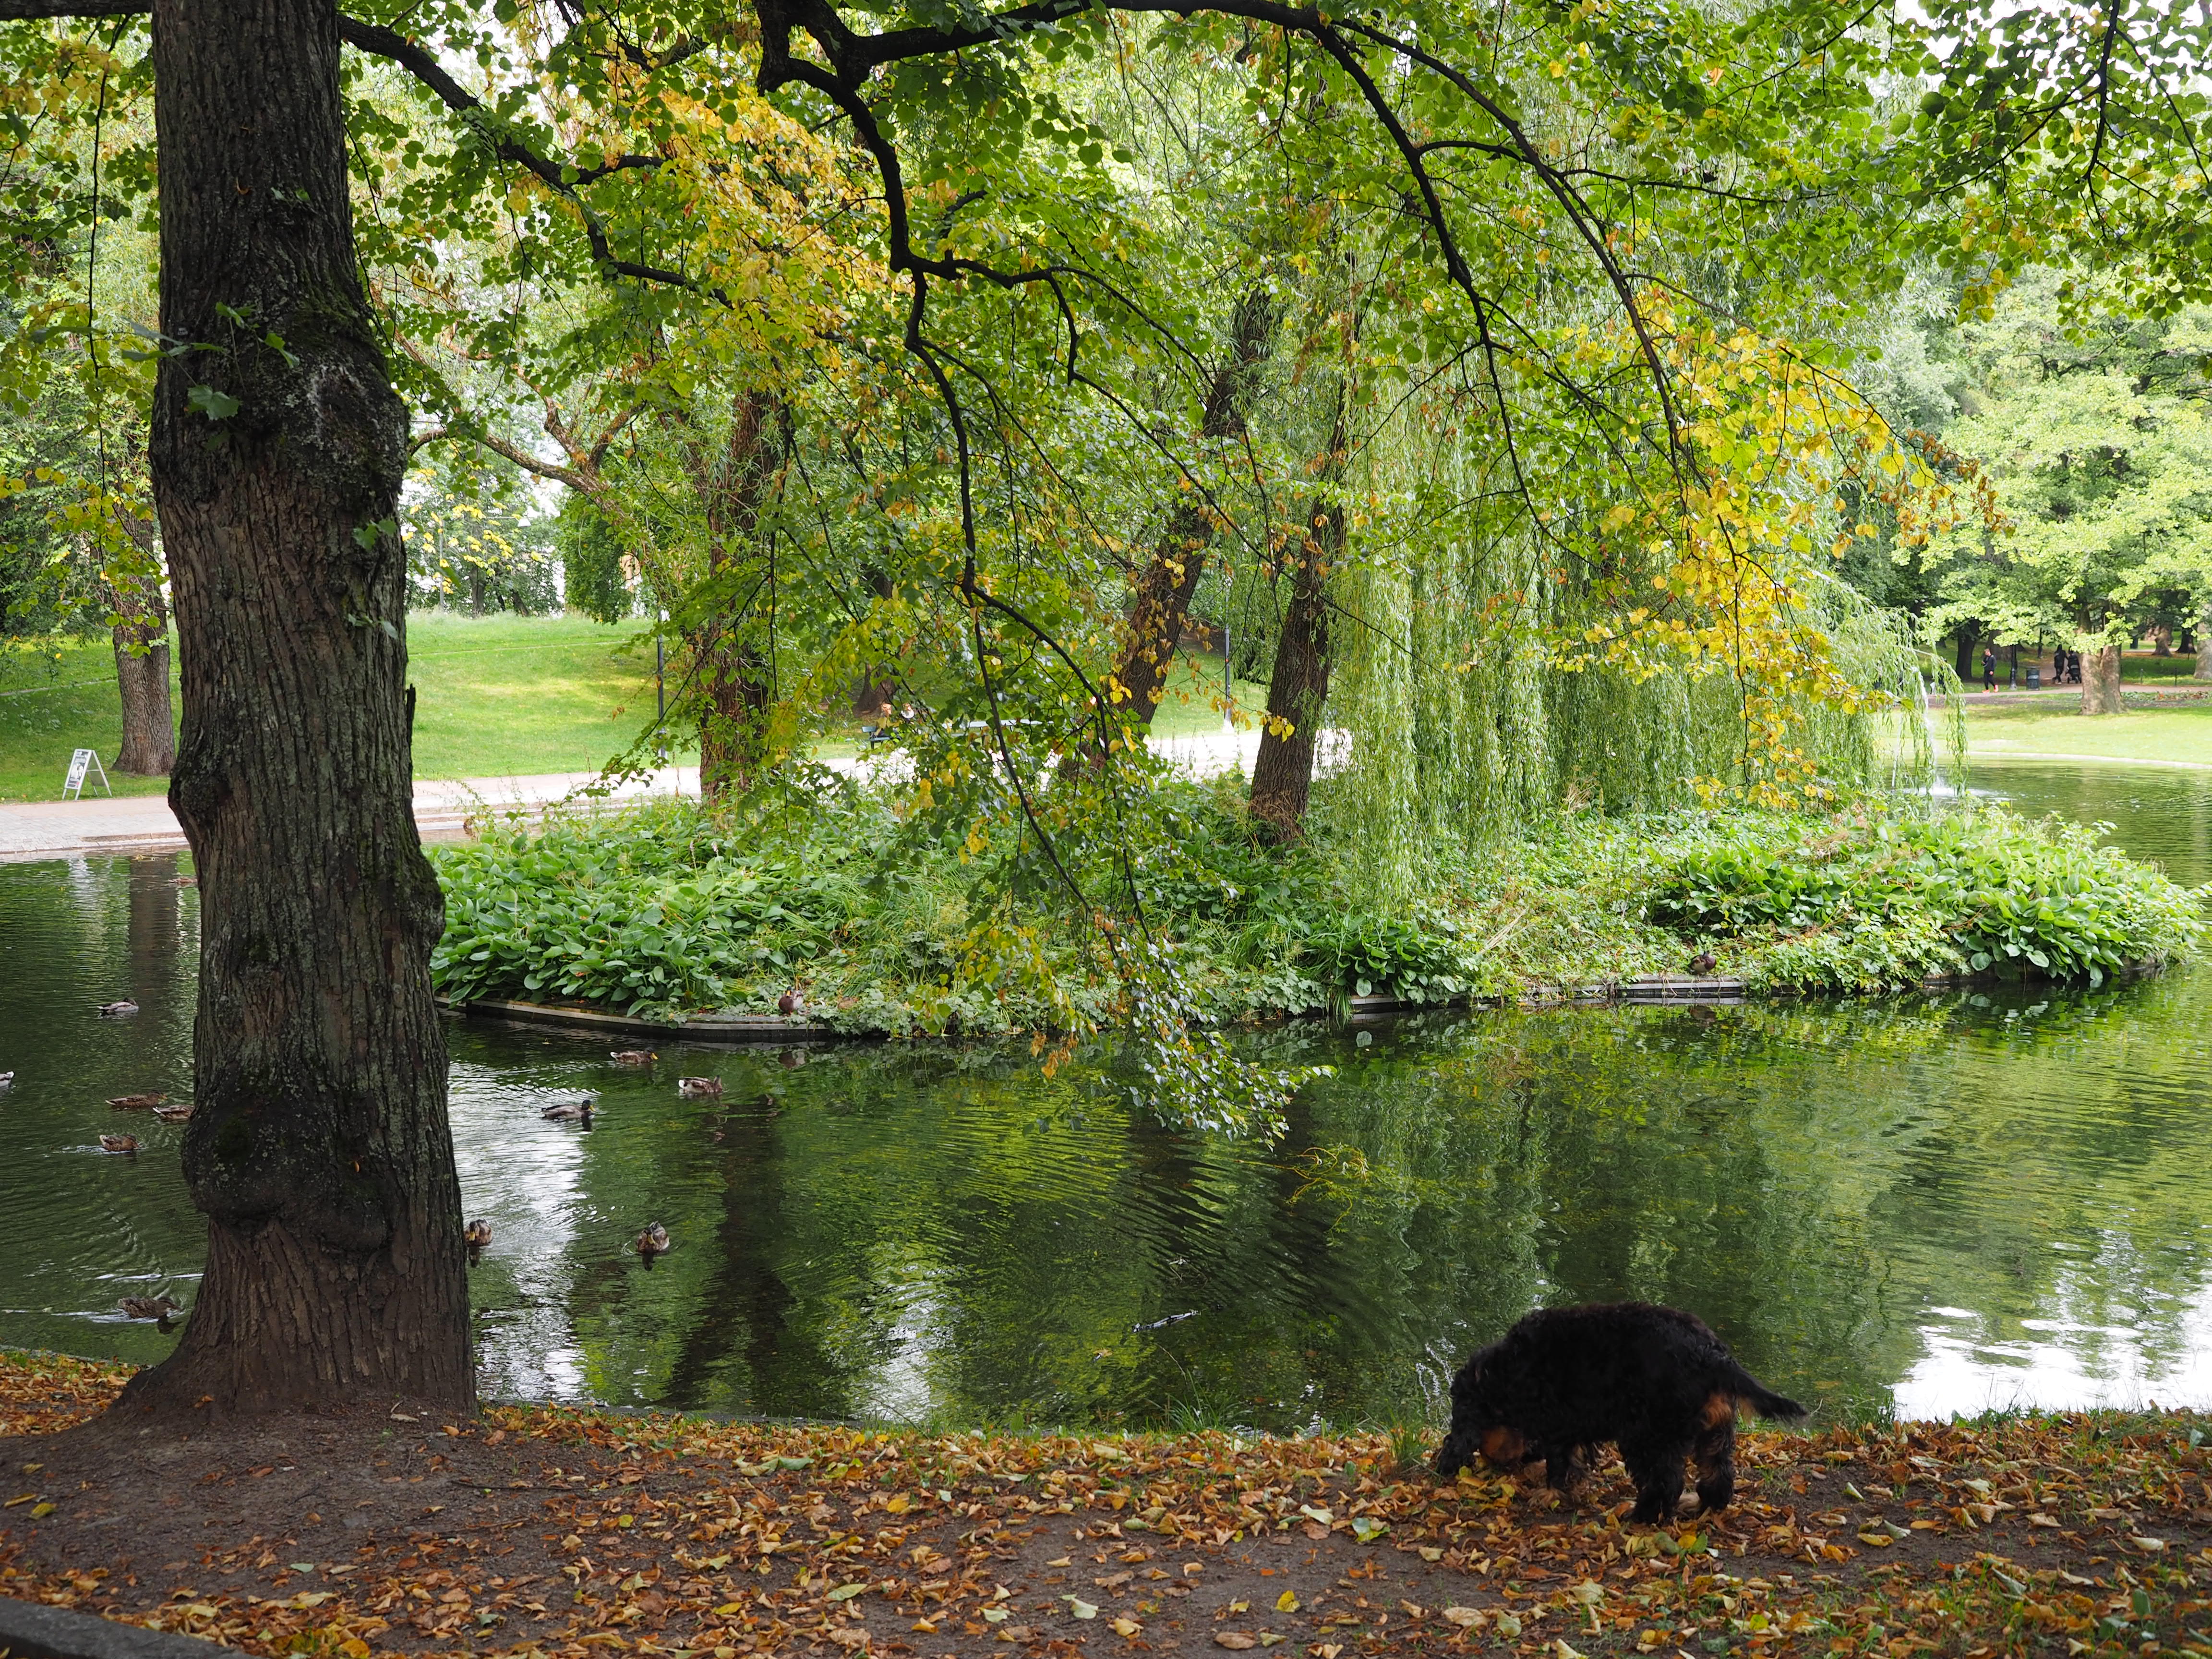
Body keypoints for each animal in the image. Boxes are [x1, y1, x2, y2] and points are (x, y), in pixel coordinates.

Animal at [1433, 1302, 1806, 1522]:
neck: (1498, 1375)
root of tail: (1713, 1354)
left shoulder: (1556, 1421)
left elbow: (1558, 1463)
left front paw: (1549, 1493)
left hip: (1647, 1433)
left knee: (1665, 1482)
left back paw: (1640, 1515)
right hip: (1714, 1431)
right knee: (1719, 1477)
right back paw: (1700, 1509)